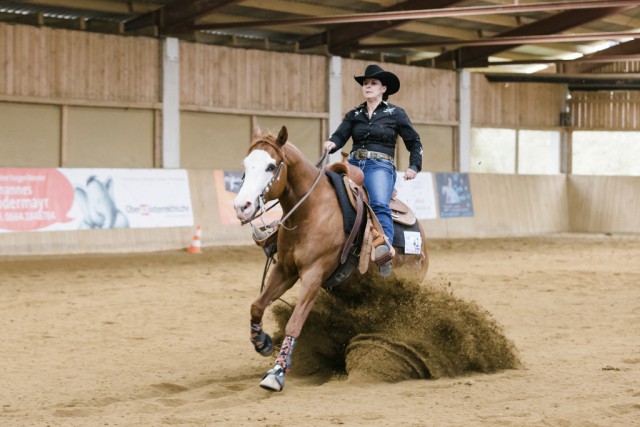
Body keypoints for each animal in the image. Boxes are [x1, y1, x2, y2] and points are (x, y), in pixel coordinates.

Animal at [232, 125, 428, 392]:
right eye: (246, 163)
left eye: (271, 166)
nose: (241, 206)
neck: (311, 211)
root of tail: (423, 240)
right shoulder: (285, 269)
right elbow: (257, 305)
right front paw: (262, 342)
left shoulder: (314, 275)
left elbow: (295, 322)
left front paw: (277, 372)